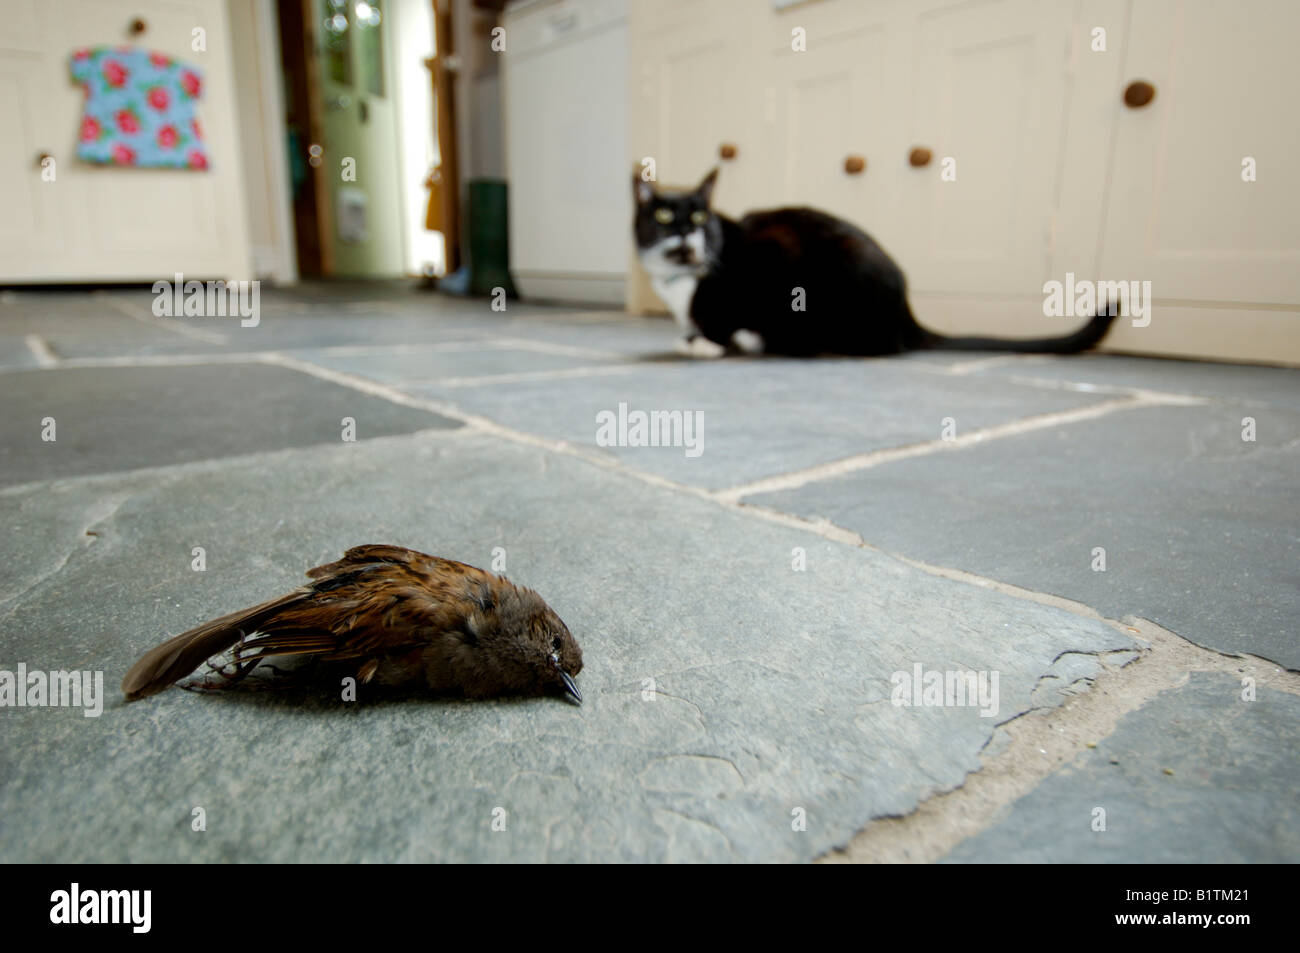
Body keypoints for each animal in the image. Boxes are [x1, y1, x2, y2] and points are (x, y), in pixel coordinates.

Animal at [634, 167, 1112, 356]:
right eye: (663, 217)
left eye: (700, 217)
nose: (685, 232)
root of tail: (907, 313)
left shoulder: (769, 258)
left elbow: (722, 322)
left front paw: (704, 343)